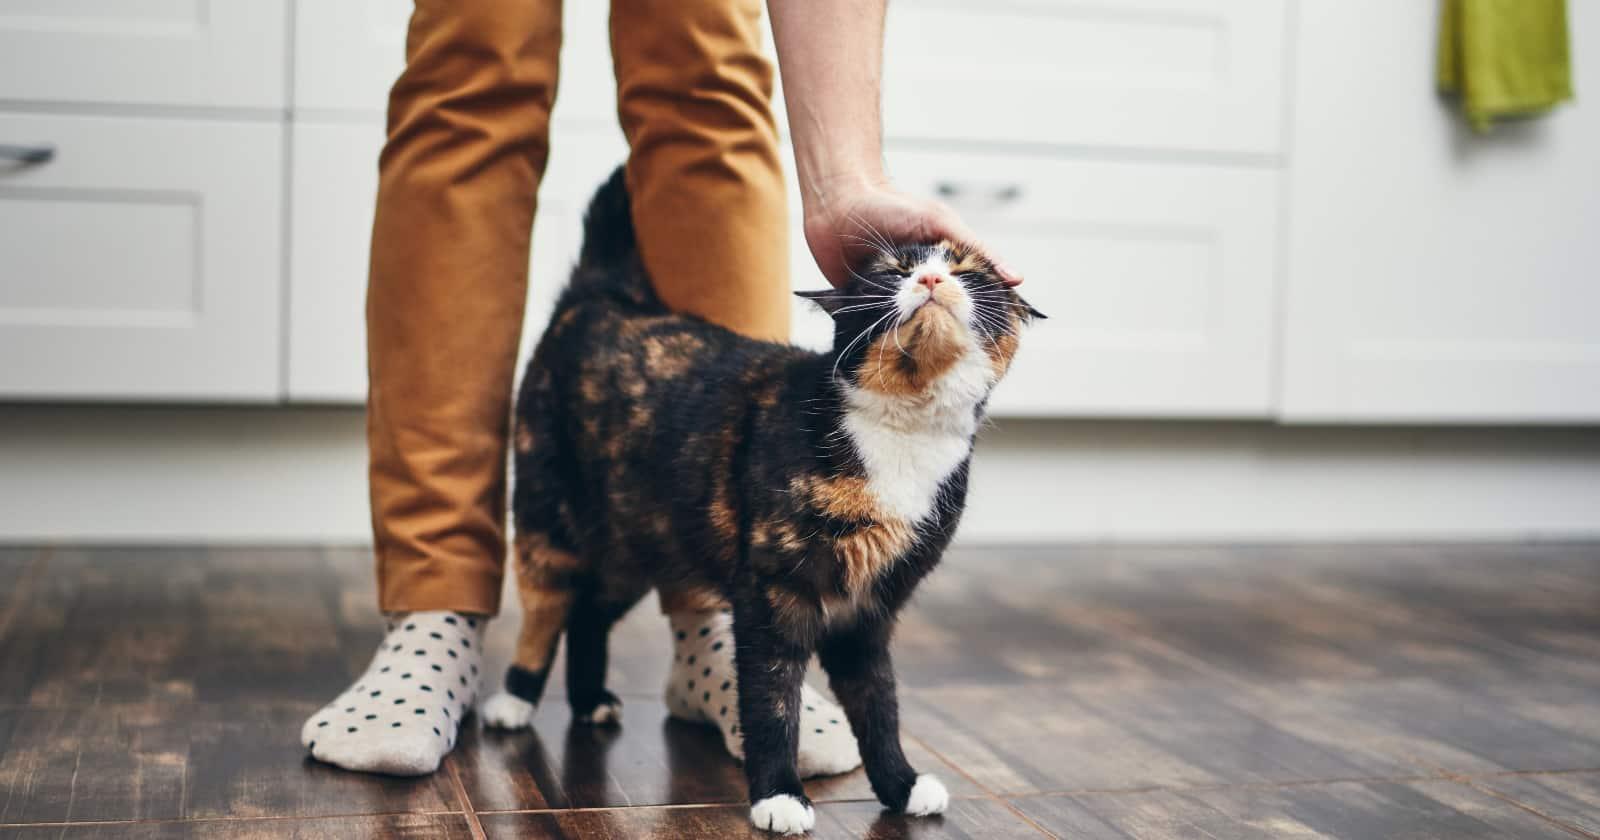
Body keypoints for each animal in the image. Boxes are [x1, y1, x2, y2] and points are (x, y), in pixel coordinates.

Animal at [483, 165, 1036, 832]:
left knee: (590, 611)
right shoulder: (773, 593)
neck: (902, 433)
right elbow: (772, 702)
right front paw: (779, 796)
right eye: (892, 270)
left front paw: (900, 785)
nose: (930, 279)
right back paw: (514, 698)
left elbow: (879, 705)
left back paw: (589, 700)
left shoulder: (870, 611)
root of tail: (603, 297)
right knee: (546, 609)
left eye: (968, 270)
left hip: (639, 542)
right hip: (550, 519)